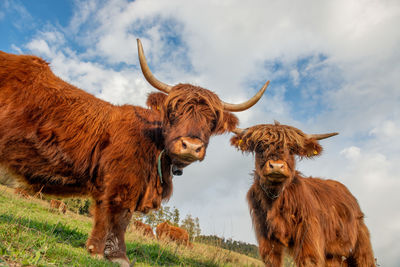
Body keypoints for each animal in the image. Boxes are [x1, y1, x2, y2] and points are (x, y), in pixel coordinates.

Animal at [0, 38, 268, 266]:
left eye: (212, 121)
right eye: (173, 112)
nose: (191, 146)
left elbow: (110, 217)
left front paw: (104, 252)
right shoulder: (120, 183)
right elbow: (117, 216)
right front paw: (110, 254)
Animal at [231, 122, 376, 267]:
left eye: (291, 149)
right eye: (260, 146)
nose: (277, 166)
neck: (275, 198)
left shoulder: (309, 238)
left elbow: (308, 260)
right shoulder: (266, 237)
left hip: (361, 245)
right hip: (333, 254)